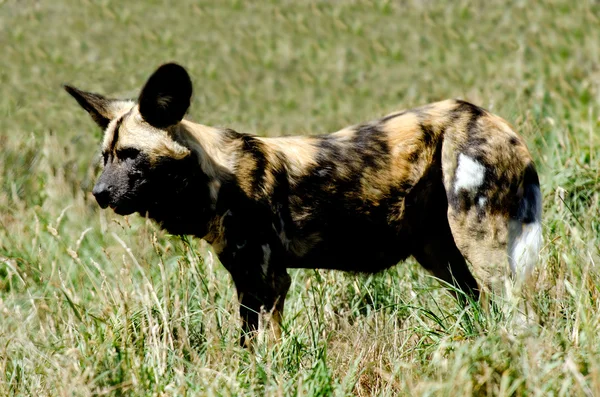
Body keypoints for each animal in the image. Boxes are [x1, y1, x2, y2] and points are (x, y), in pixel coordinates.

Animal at [65, 63, 544, 344]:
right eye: (106, 157)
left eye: (132, 155)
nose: (99, 194)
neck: (214, 176)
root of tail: (490, 118)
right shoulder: (247, 281)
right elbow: (246, 343)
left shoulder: (268, 280)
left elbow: (266, 348)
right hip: (440, 256)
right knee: (476, 303)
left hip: (480, 246)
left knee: (516, 311)